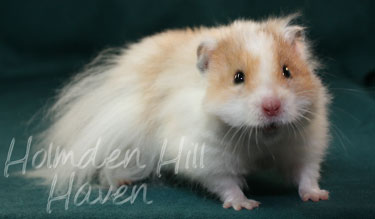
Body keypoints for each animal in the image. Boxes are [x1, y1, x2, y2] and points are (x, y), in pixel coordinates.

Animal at [33, 14, 332, 210]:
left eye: (287, 71)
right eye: (238, 77)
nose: (272, 107)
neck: (259, 138)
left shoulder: (303, 143)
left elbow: (306, 173)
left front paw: (318, 196)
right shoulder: (207, 157)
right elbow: (226, 183)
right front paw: (245, 205)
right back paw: (122, 181)